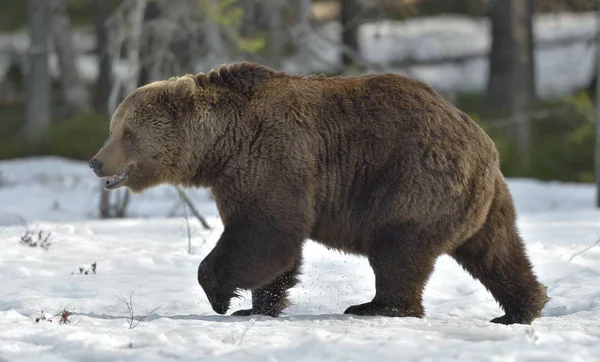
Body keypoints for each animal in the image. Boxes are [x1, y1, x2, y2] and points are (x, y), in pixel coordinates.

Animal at [89, 60, 548, 324]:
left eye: (126, 133)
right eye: (113, 128)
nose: (96, 161)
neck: (219, 146)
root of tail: (482, 141)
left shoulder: (272, 159)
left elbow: (265, 233)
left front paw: (221, 296)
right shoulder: (238, 176)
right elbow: (274, 248)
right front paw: (257, 304)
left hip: (412, 181)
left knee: (398, 250)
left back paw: (376, 306)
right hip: (482, 201)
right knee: (497, 251)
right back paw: (524, 308)